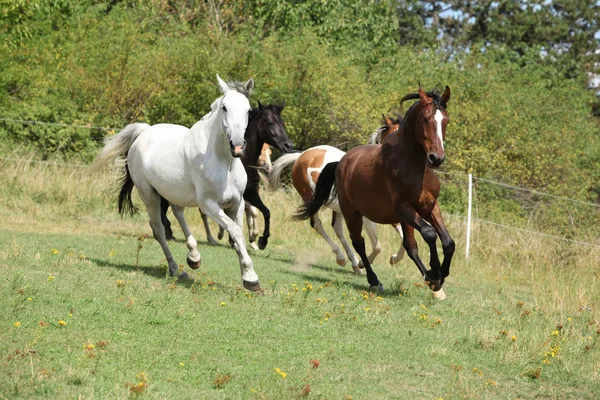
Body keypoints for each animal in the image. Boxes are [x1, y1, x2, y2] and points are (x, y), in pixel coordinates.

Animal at [92, 75, 262, 292]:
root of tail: (144, 132)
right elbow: (235, 232)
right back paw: (175, 268)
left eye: (248, 110)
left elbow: (237, 235)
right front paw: (251, 278)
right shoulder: (209, 205)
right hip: (149, 196)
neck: (224, 162)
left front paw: (246, 276)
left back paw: (193, 257)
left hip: (175, 192)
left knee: (176, 211)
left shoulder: (237, 203)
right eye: (224, 107)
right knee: (159, 229)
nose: (238, 146)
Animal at [158, 101, 292, 248]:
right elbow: (243, 215)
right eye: (270, 122)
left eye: (282, 122)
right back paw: (171, 233)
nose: (288, 145)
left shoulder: (250, 194)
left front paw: (261, 240)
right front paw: (234, 239)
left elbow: (265, 212)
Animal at [270, 114, 406, 274]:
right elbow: (378, 246)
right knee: (317, 225)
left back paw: (353, 262)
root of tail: (302, 156)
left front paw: (394, 259)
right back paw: (342, 258)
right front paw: (364, 263)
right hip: (310, 200)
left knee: (337, 228)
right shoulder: (366, 218)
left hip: (339, 208)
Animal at [292, 87, 452, 300]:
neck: (414, 168)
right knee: (356, 241)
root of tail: (343, 161)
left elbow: (445, 242)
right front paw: (434, 274)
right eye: (426, 119)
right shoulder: (403, 210)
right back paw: (372, 278)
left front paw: (438, 278)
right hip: (351, 212)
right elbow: (429, 234)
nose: (436, 158)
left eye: (446, 120)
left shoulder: (430, 207)